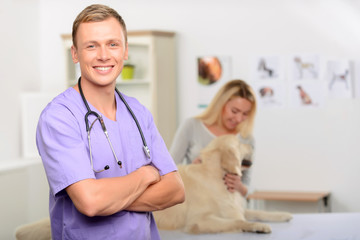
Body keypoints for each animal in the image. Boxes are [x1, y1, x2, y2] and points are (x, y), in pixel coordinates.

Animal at [153, 135, 292, 234]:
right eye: (239, 144)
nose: (252, 146)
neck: (217, 175)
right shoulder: (199, 220)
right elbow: (238, 220)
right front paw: (257, 226)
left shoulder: (233, 207)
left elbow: (258, 212)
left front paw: (283, 214)